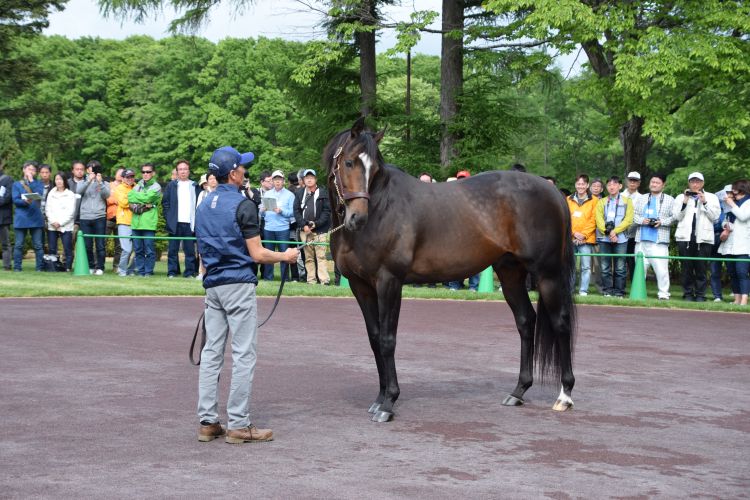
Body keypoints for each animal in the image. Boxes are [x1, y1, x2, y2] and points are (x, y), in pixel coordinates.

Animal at [326, 117, 580, 422]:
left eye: (374, 168)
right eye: (349, 162)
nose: (357, 218)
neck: (381, 208)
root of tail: (554, 192)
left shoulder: (389, 281)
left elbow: (388, 340)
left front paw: (388, 403)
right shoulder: (360, 286)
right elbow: (375, 339)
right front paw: (379, 399)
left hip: (547, 274)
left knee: (560, 323)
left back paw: (565, 395)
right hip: (510, 273)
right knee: (526, 321)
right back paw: (518, 391)